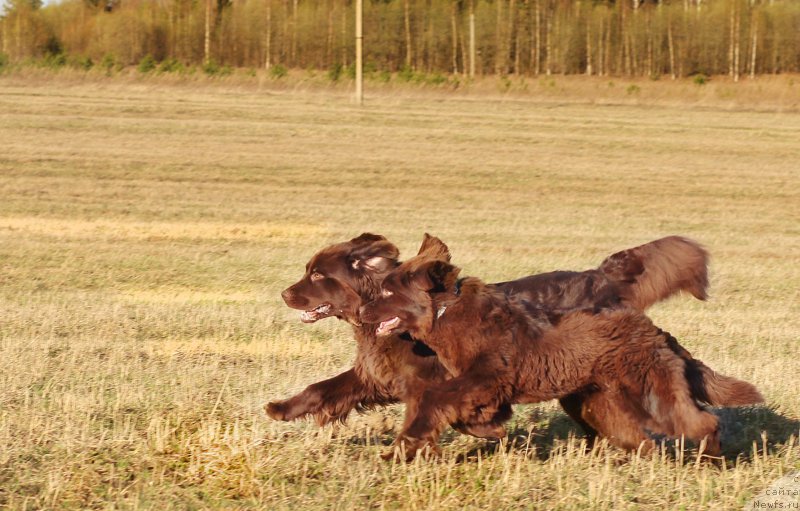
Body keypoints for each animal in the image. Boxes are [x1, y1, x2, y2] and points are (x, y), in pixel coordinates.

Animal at [268, 233, 712, 440]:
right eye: (308, 270)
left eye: (318, 276)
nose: (284, 293)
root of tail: (602, 275)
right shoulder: (376, 375)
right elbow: (322, 389)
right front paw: (281, 408)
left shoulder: (441, 379)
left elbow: (449, 410)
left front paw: (488, 429)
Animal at [358, 242, 764, 462]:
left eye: (389, 292)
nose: (361, 311)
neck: (446, 313)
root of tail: (656, 331)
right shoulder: (483, 389)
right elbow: (458, 411)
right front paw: (487, 430)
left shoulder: (487, 377)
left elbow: (435, 400)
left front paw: (402, 447)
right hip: (600, 402)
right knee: (640, 439)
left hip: (651, 392)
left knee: (701, 423)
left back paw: (711, 458)